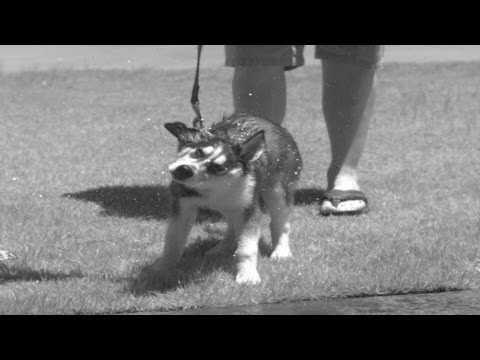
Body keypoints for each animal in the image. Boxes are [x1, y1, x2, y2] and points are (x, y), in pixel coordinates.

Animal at [142, 114, 302, 286]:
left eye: (217, 168)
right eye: (198, 152)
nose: (184, 170)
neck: (212, 188)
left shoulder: (249, 209)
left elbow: (247, 248)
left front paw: (247, 275)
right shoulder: (182, 206)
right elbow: (173, 240)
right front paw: (162, 268)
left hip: (277, 192)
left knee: (280, 223)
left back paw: (281, 250)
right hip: (230, 205)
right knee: (232, 226)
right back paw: (222, 248)